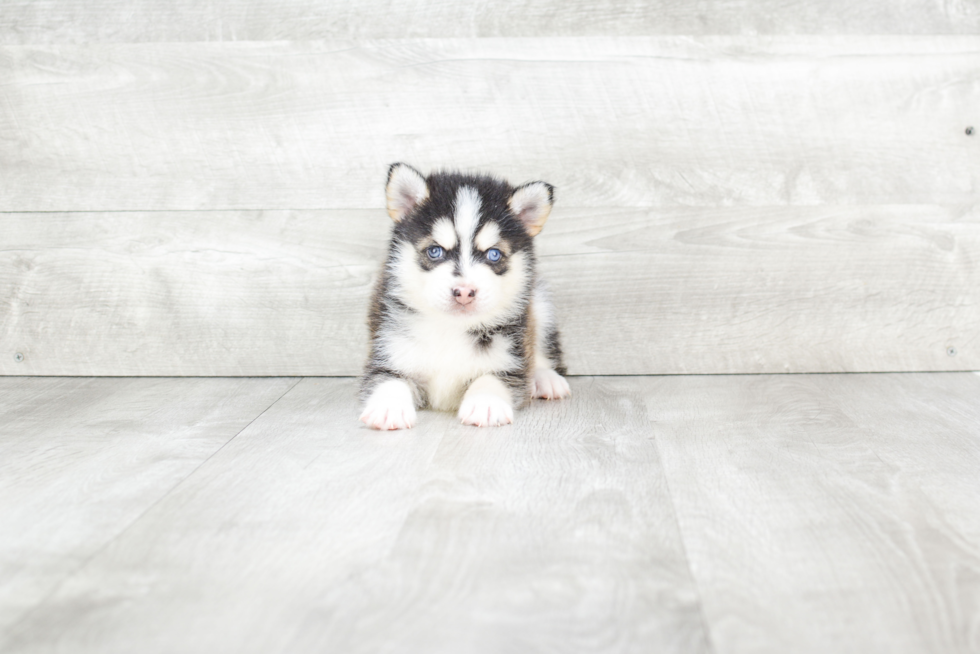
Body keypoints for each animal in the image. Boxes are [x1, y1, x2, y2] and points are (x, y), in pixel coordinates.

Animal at [358, 163, 572, 430]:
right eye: (435, 251)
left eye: (493, 254)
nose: (464, 292)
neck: (451, 327)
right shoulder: (389, 351)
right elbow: (389, 379)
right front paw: (389, 407)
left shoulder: (511, 361)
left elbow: (491, 377)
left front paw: (486, 403)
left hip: (540, 303)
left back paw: (545, 379)